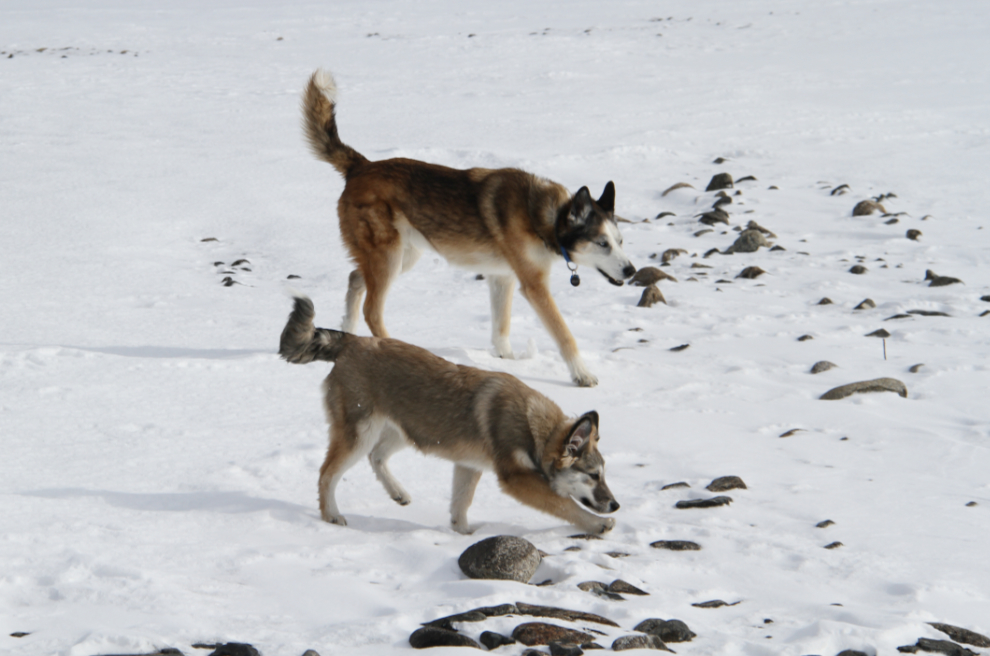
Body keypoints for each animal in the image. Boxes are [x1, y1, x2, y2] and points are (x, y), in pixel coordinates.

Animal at [280, 296, 620, 532]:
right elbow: (564, 505)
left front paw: (463, 534)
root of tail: (353, 341)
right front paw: (597, 524)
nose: (616, 505)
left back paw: (398, 493)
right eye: (594, 476)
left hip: (407, 430)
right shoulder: (515, 479)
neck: (535, 428)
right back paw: (331, 515)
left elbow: (460, 505)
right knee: (327, 474)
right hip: (361, 434)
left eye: (604, 475)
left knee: (376, 457)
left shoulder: (468, 466)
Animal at [300, 68, 636, 384]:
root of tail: (362, 166)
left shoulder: (502, 277)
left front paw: (507, 361)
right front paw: (582, 374)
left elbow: (501, 328)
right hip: (389, 257)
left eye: (620, 241)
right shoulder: (534, 286)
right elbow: (564, 334)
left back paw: (348, 333)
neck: (547, 217)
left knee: (356, 279)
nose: (632, 271)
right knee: (372, 308)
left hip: (402, 256)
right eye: (602, 243)